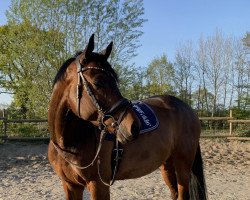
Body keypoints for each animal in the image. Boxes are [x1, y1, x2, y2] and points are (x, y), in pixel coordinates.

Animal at [48, 34, 207, 200]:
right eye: (98, 82)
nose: (134, 126)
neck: (70, 144)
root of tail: (188, 109)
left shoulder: (98, 186)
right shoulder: (70, 185)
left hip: (183, 165)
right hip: (167, 164)